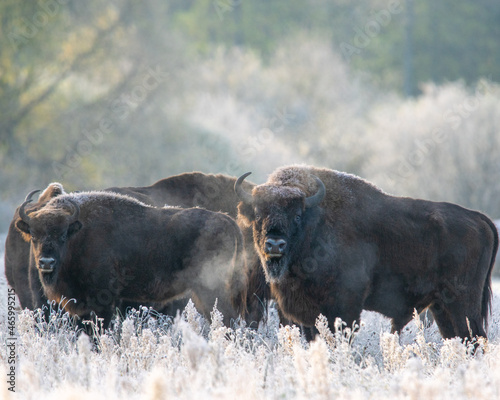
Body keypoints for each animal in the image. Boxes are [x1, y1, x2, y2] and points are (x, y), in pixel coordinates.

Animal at [235, 163, 500, 340]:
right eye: (258, 214)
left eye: (297, 215)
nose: (275, 244)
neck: (316, 224)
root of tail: (480, 219)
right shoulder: (307, 313)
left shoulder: (345, 305)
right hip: (441, 307)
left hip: (463, 303)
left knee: (475, 338)